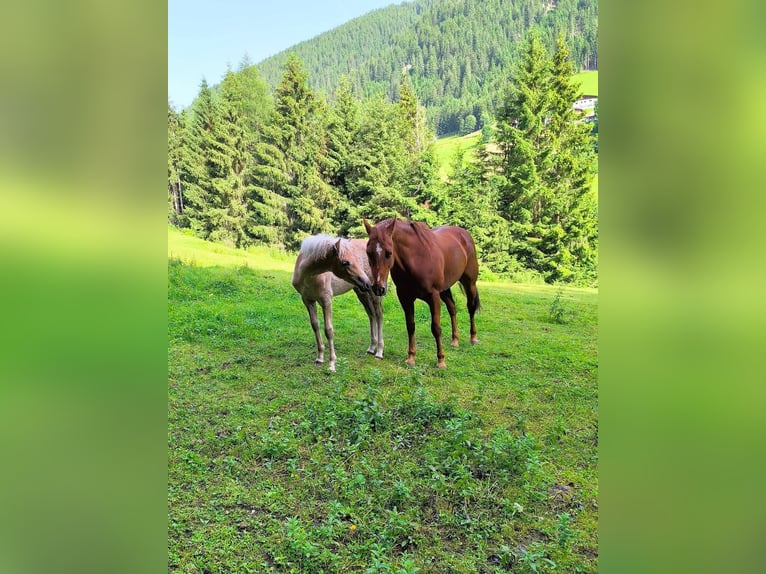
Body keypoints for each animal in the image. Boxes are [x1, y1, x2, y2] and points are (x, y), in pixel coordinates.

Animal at [292, 234, 384, 372]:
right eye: (345, 262)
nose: (367, 282)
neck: (309, 276)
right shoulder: (308, 300)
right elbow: (315, 325)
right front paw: (320, 358)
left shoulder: (326, 300)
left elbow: (328, 330)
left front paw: (332, 364)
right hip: (361, 292)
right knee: (371, 314)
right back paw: (371, 348)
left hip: (375, 292)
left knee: (379, 315)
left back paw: (379, 352)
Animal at [363, 218, 480, 369]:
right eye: (368, 253)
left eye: (389, 253)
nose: (378, 288)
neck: (417, 258)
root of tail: (465, 234)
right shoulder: (405, 298)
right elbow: (410, 326)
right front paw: (411, 357)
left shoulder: (433, 297)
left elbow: (436, 328)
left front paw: (441, 360)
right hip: (445, 289)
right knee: (452, 308)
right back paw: (455, 340)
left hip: (469, 283)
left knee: (471, 308)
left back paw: (473, 338)